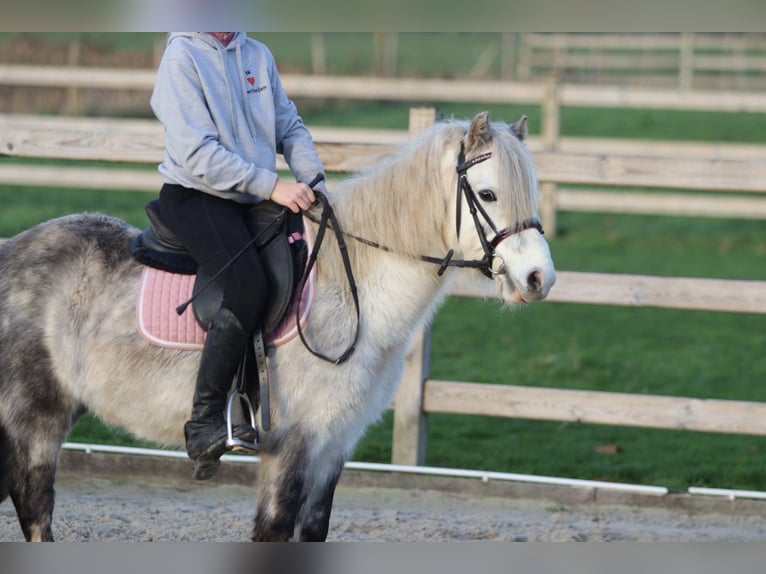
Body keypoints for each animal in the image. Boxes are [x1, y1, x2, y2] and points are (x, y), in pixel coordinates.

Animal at [0, 111, 555, 542]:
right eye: (488, 193)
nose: (539, 279)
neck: (353, 292)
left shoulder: (334, 446)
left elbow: (312, 531)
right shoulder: (293, 443)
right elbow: (274, 530)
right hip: (35, 420)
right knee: (35, 511)